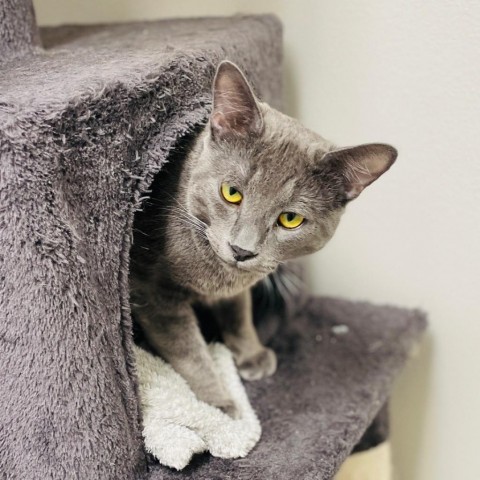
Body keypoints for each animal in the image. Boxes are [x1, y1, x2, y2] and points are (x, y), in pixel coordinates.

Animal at [128, 61, 398, 416]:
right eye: (231, 193)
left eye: (290, 219)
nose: (241, 250)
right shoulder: (153, 292)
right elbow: (188, 350)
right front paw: (221, 406)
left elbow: (238, 312)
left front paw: (252, 352)